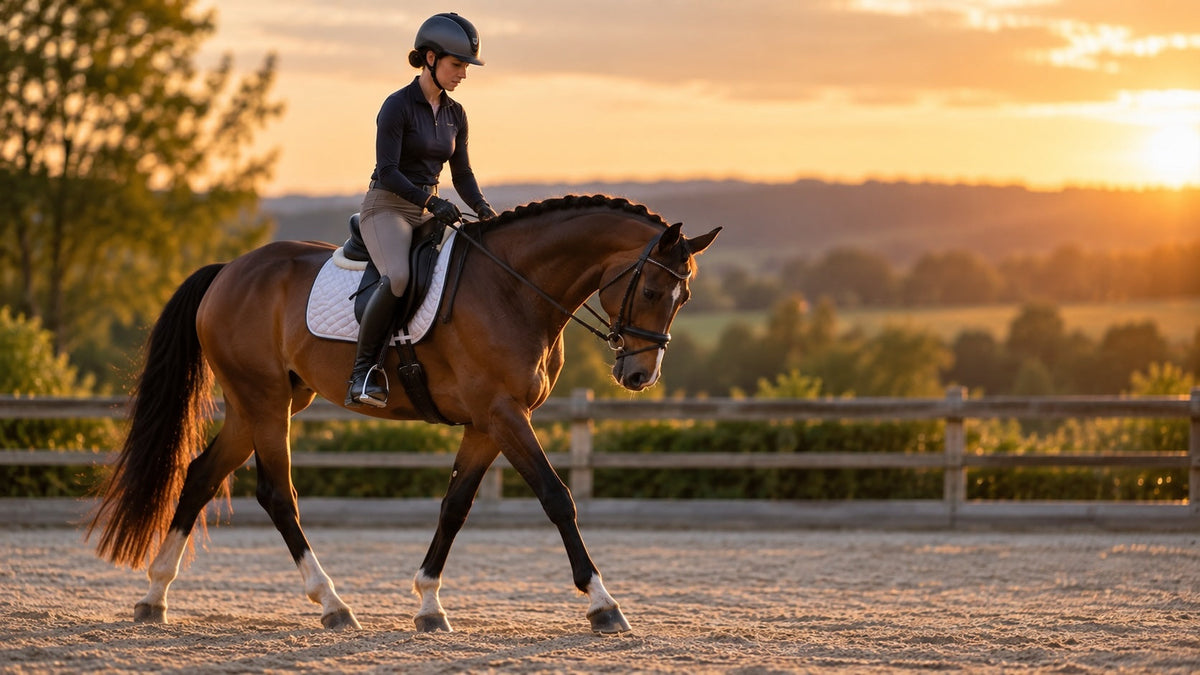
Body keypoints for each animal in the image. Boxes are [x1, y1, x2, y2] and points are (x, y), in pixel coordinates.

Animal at [87, 194, 720, 633]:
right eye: (652, 292)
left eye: (684, 297)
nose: (638, 377)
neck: (515, 289)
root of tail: (228, 270)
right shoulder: (504, 413)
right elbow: (556, 496)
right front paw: (604, 605)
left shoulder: (487, 423)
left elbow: (455, 506)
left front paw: (429, 605)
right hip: (263, 402)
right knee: (276, 493)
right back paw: (333, 604)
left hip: (263, 402)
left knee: (200, 475)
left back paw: (155, 597)